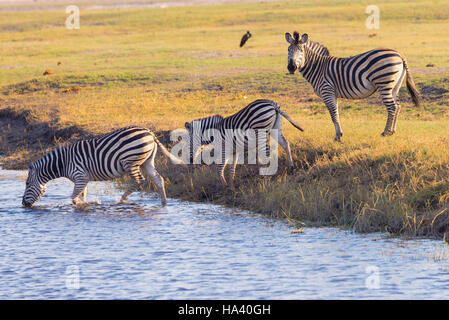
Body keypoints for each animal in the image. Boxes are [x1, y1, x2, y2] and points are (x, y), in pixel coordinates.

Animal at [20, 126, 186, 209]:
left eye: (27, 184)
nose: (23, 205)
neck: (63, 163)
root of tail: (149, 132)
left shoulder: (80, 176)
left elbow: (73, 198)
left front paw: (78, 204)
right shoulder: (83, 179)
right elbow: (82, 195)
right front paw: (84, 205)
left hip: (130, 161)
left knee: (139, 180)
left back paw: (122, 200)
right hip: (147, 161)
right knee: (158, 179)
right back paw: (164, 203)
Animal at [284, 31, 420, 141]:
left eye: (301, 51)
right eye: (288, 50)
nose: (291, 67)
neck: (318, 67)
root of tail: (399, 54)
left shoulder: (327, 91)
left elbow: (333, 114)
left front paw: (338, 136)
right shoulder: (332, 93)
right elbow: (336, 113)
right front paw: (339, 134)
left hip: (384, 84)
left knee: (392, 107)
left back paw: (386, 132)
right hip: (394, 86)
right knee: (398, 106)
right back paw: (392, 131)